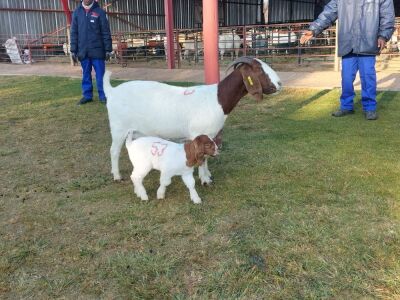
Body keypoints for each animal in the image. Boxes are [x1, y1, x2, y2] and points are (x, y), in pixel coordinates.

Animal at [103, 56, 282, 183]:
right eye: (259, 69)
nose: (279, 84)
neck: (217, 98)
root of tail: (112, 91)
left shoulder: (210, 135)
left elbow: (207, 157)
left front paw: (208, 175)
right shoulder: (199, 133)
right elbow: (202, 158)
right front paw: (205, 180)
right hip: (118, 128)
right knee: (113, 151)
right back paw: (117, 176)